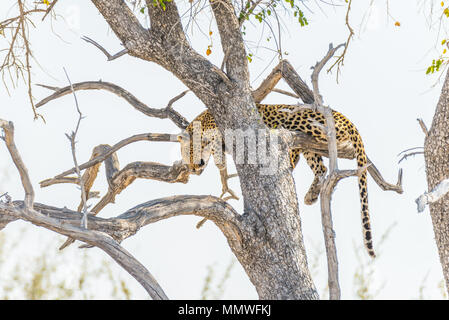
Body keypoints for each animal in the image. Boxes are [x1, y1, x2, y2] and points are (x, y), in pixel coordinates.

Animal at [177, 104, 372, 258]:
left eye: (190, 153)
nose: (192, 169)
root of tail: (343, 116)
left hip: (299, 121)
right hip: (309, 148)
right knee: (320, 168)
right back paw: (311, 195)